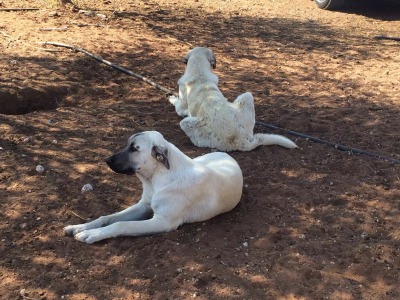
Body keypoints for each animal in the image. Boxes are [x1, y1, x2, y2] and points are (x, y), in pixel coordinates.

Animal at [64, 131, 242, 244]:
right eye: (127, 145)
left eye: (134, 148)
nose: (106, 160)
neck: (156, 179)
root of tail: (225, 153)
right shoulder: (144, 206)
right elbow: (107, 218)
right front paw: (80, 227)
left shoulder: (163, 221)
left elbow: (122, 224)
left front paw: (91, 234)